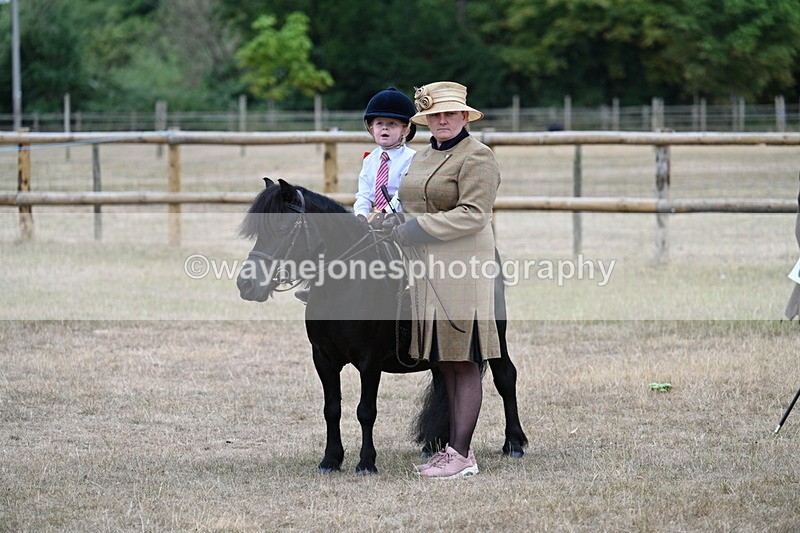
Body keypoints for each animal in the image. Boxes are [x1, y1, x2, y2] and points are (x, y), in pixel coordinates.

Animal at [236, 178, 528, 474]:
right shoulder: (323, 358)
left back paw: (514, 444)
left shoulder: (370, 360)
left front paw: (366, 462)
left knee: (505, 377)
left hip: (493, 334)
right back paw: (436, 444)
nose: (246, 284)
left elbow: (366, 411)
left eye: (283, 228)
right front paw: (330, 460)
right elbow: (331, 409)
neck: (345, 288)